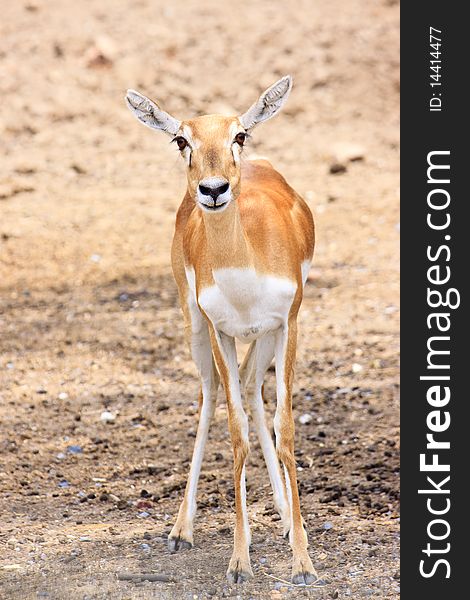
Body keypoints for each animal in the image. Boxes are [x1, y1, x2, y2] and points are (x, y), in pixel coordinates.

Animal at [124, 76, 320, 584]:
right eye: (181, 140)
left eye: (239, 134)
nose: (214, 189)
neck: (244, 268)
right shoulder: (220, 331)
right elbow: (235, 434)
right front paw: (239, 561)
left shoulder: (288, 321)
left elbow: (285, 428)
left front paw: (303, 562)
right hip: (195, 325)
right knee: (212, 393)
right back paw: (182, 530)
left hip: (266, 336)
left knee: (252, 387)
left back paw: (286, 518)